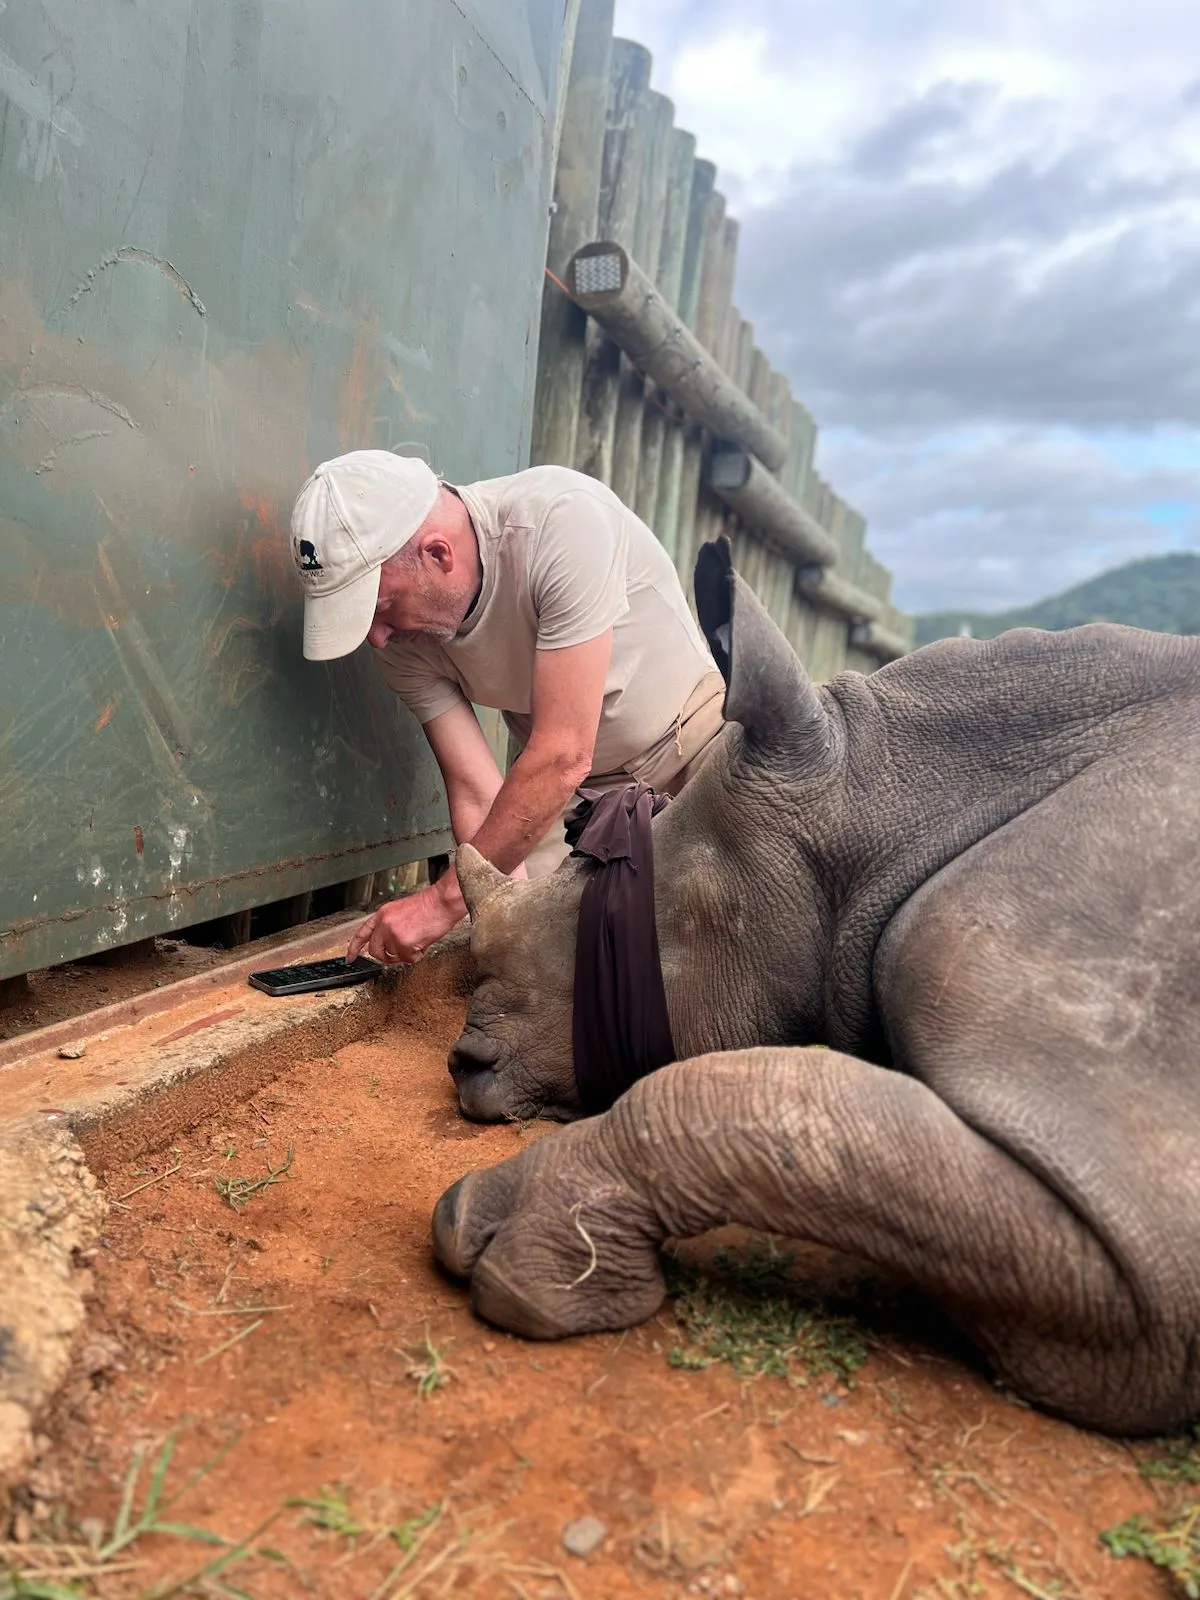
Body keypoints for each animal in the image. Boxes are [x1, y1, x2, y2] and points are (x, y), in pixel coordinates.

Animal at [431, 539, 1200, 1434]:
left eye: (614, 929)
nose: (467, 1066)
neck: (884, 801)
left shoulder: (1144, 1274)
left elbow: (744, 1100)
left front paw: (491, 1242)